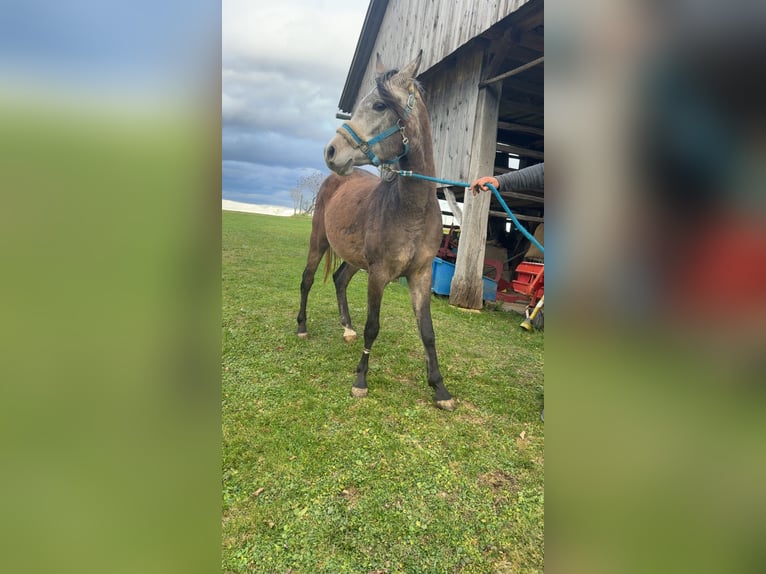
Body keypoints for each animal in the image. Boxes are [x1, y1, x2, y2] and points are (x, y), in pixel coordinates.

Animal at [296, 51, 456, 411]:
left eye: (380, 105)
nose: (331, 151)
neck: (411, 208)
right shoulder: (379, 274)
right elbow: (373, 327)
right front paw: (360, 381)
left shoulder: (421, 275)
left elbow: (428, 332)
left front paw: (440, 389)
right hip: (319, 242)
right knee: (308, 280)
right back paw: (301, 327)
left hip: (355, 259)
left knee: (339, 279)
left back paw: (346, 329)